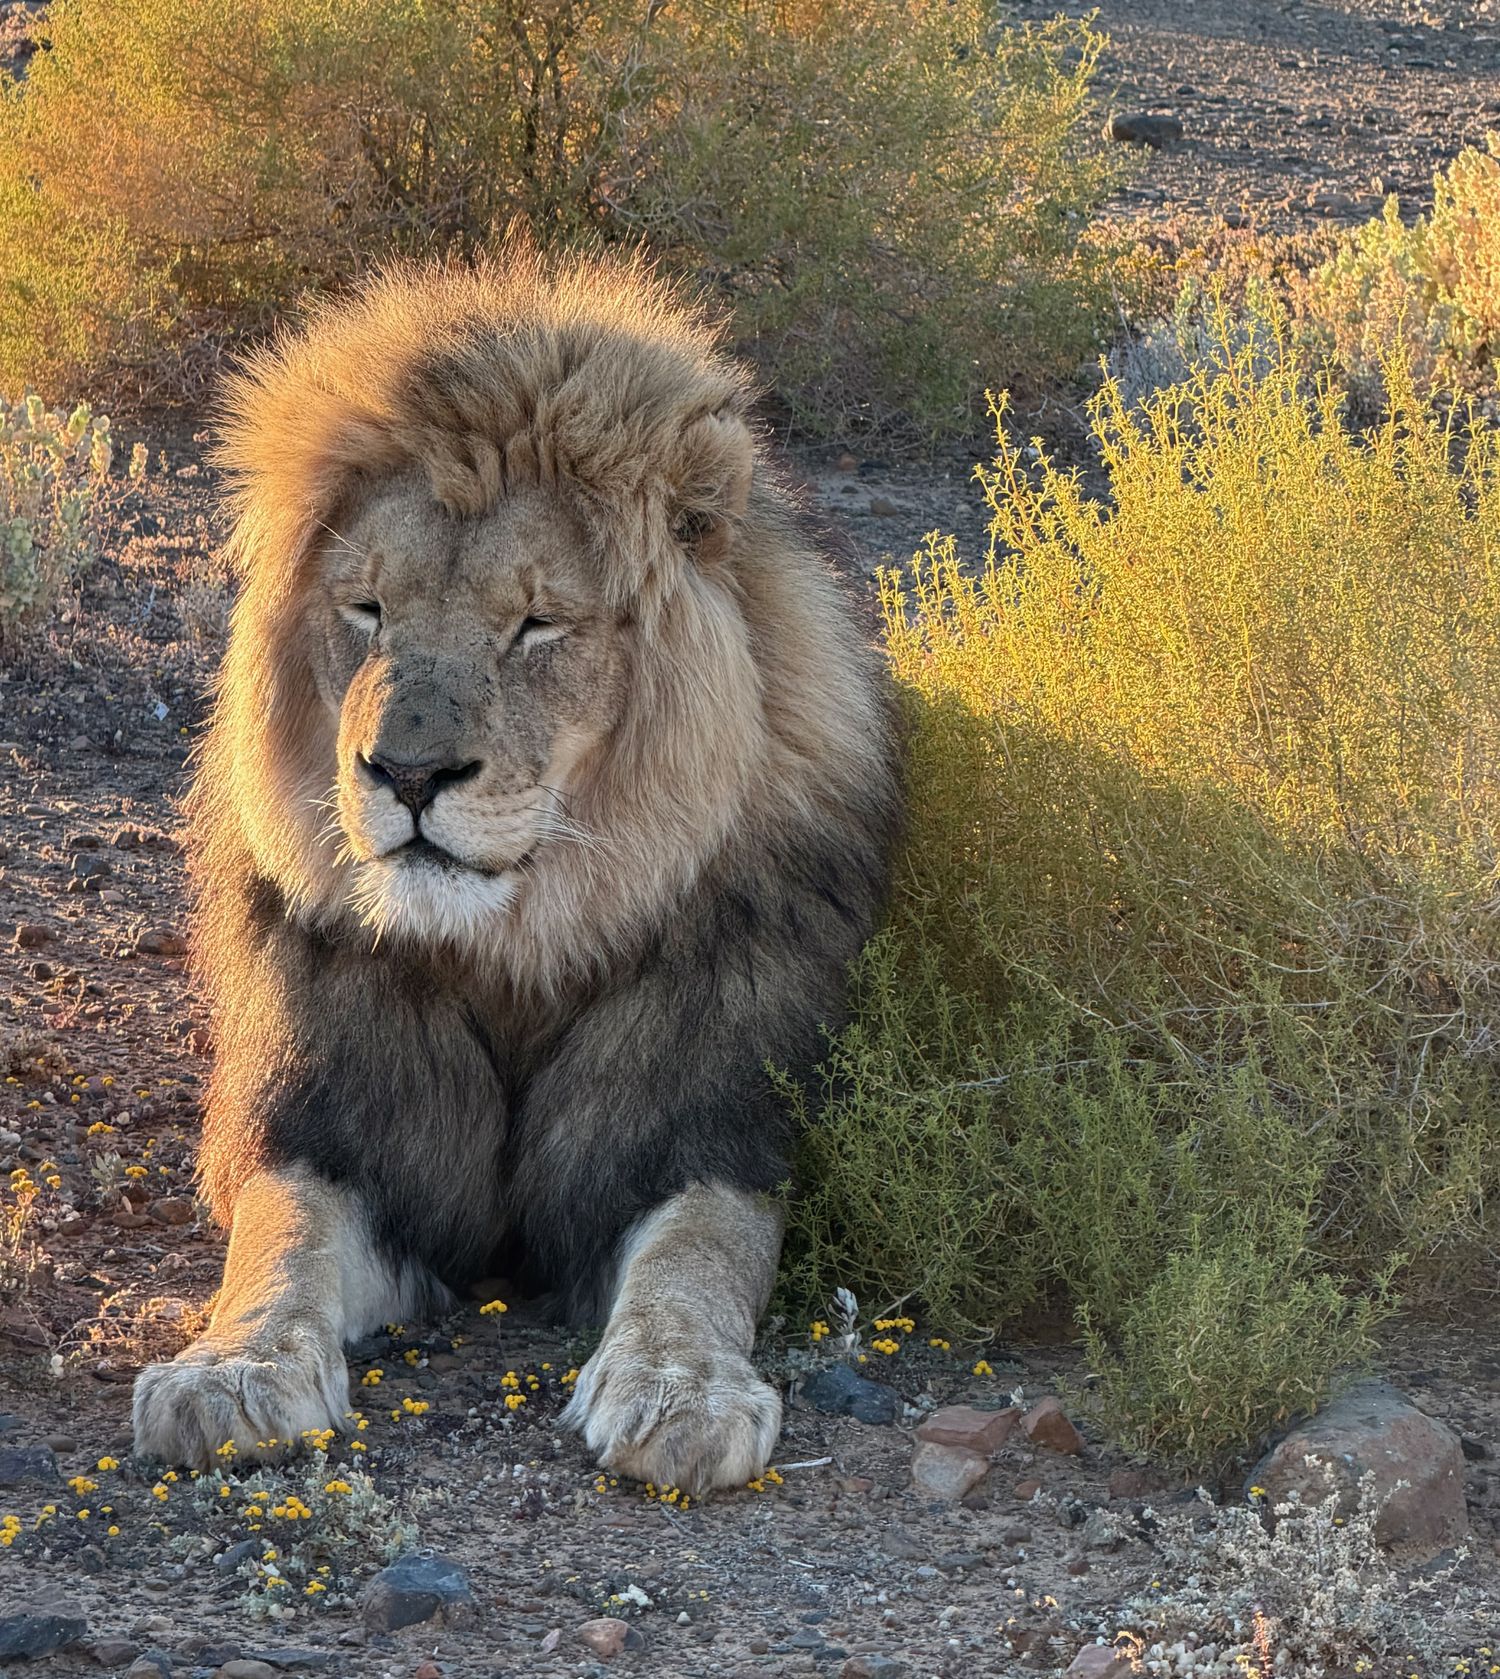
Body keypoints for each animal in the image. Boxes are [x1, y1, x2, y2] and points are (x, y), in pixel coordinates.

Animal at [130, 251, 901, 1494]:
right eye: (367, 606)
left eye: (538, 623)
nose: (407, 771)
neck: (513, 948)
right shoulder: (337, 1121)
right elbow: (279, 1235)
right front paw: (229, 1370)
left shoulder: (708, 1128)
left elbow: (698, 1254)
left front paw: (680, 1391)